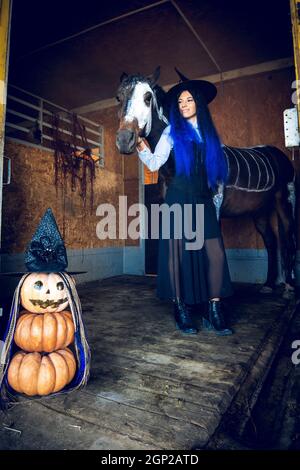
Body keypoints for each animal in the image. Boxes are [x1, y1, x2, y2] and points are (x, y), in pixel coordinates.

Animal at [116, 67, 296, 292]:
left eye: (148, 97)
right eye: (118, 97)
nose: (125, 140)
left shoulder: (213, 207)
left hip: (285, 201)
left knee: (288, 236)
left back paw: (289, 287)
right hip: (260, 210)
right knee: (271, 240)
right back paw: (269, 285)